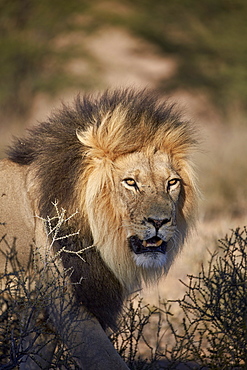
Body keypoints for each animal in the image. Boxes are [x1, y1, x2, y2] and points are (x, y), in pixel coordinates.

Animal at [0, 88, 197, 368]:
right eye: (130, 182)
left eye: (172, 182)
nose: (159, 222)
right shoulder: (71, 309)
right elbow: (107, 361)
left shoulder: (40, 319)